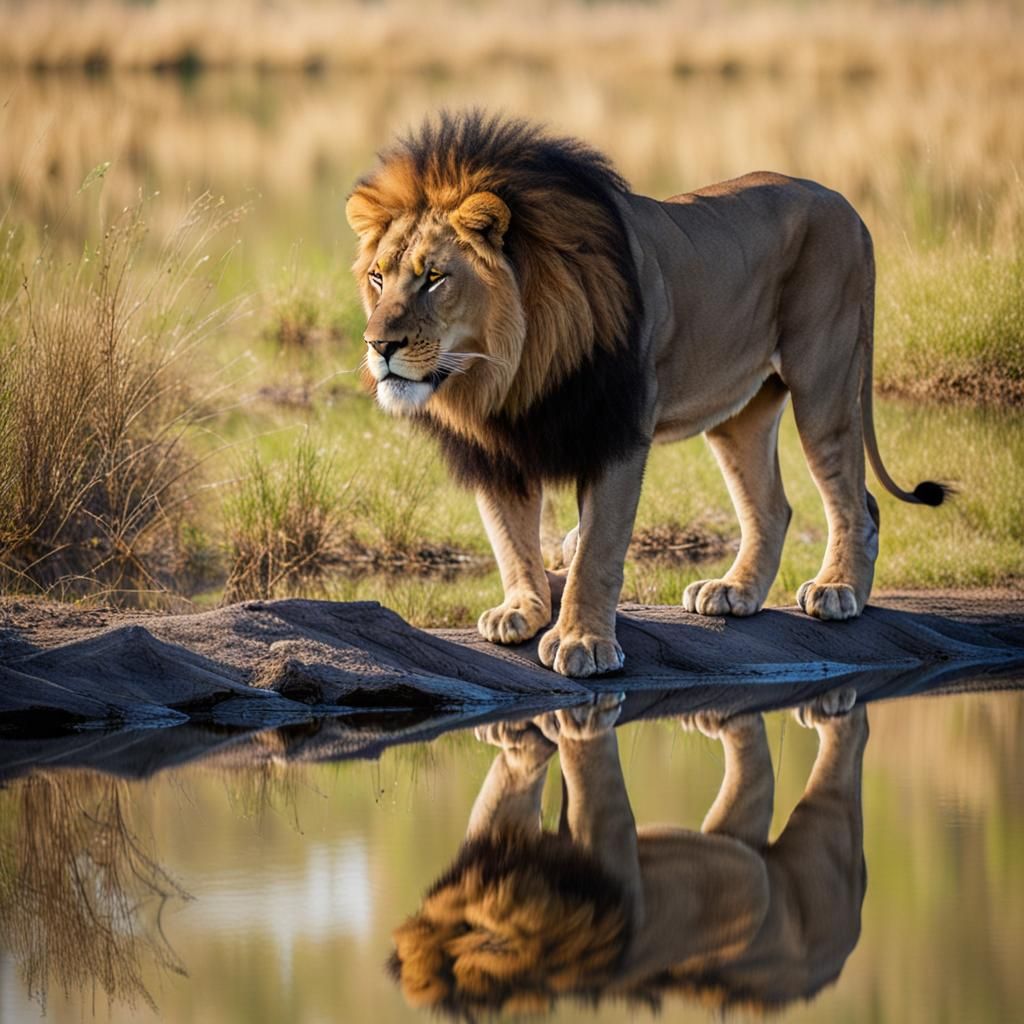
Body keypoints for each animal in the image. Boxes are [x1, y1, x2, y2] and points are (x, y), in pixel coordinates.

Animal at [346, 111, 948, 678]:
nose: (379, 345)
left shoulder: (617, 428)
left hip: (823, 379)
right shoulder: (499, 445)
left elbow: (597, 548)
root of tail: (844, 203)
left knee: (854, 499)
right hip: (740, 413)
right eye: (378, 277)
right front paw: (522, 610)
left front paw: (580, 642)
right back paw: (734, 592)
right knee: (773, 507)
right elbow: (509, 536)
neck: (505, 368)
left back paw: (837, 590)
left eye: (434, 277)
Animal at [388, 692, 870, 1015]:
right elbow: (516, 776)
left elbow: (582, 761)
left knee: (849, 745)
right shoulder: (501, 840)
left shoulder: (605, 832)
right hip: (742, 843)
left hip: (825, 837)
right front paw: (528, 738)